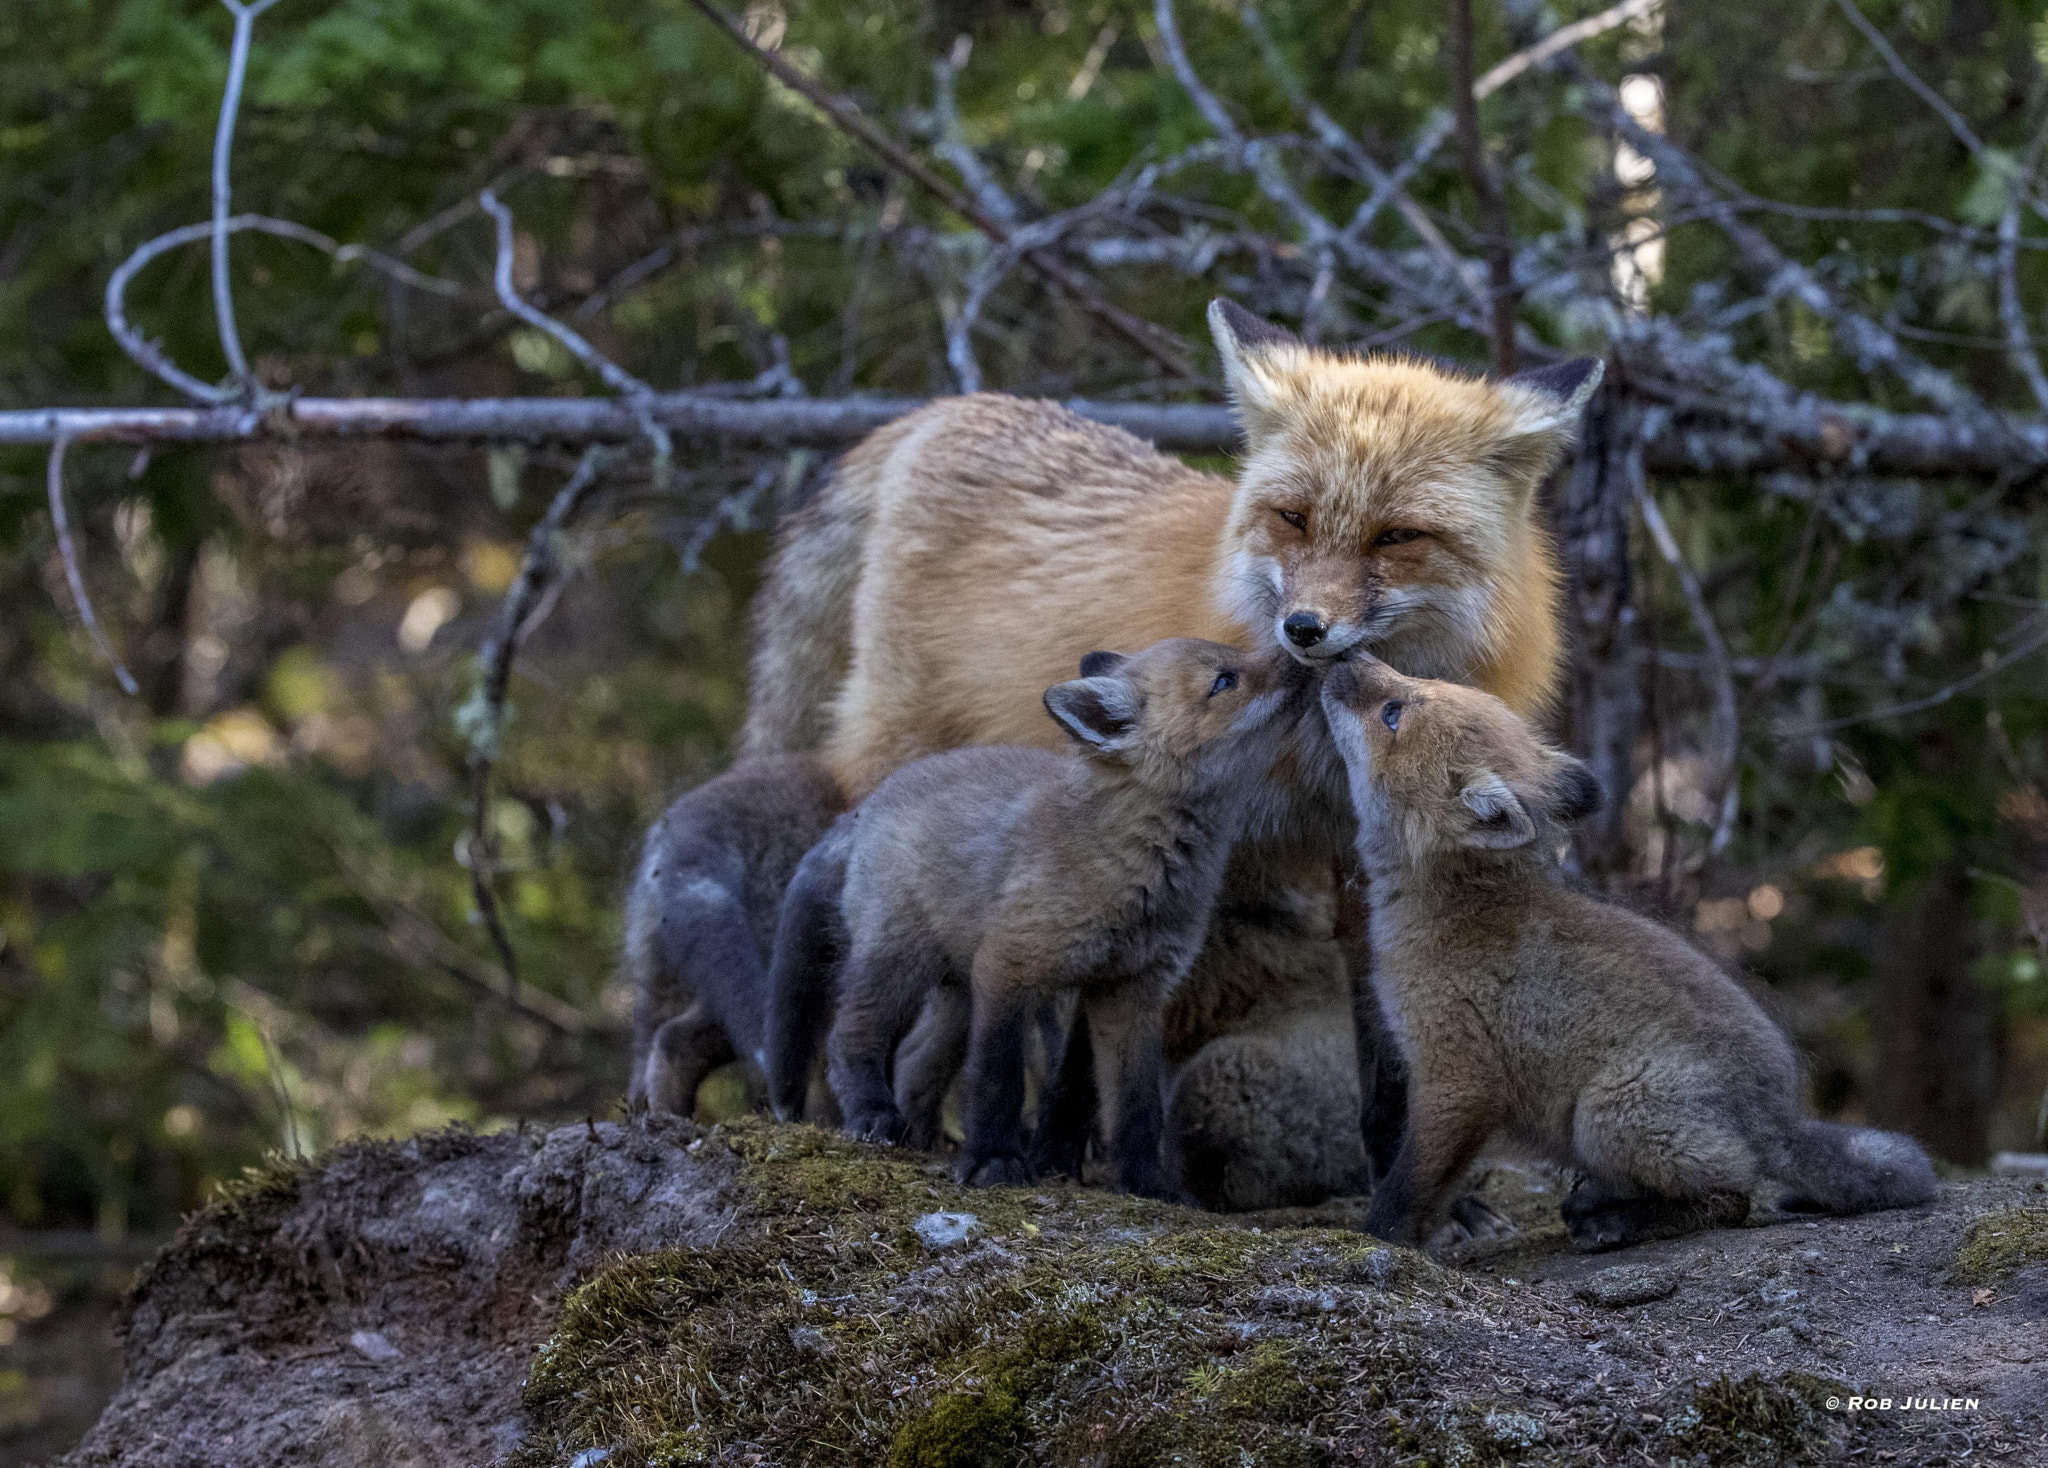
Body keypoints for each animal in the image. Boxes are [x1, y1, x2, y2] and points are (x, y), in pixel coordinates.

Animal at [737, 296, 1597, 1203]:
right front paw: (1062, 1150)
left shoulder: (1359, 866)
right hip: (902, 773)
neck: (1320, 765)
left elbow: (1385, 1060)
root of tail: (945, 408)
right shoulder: (1166, 855)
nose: (1303, 630)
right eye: (1293, 517)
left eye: (1397, 537)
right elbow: (1093, 1047)